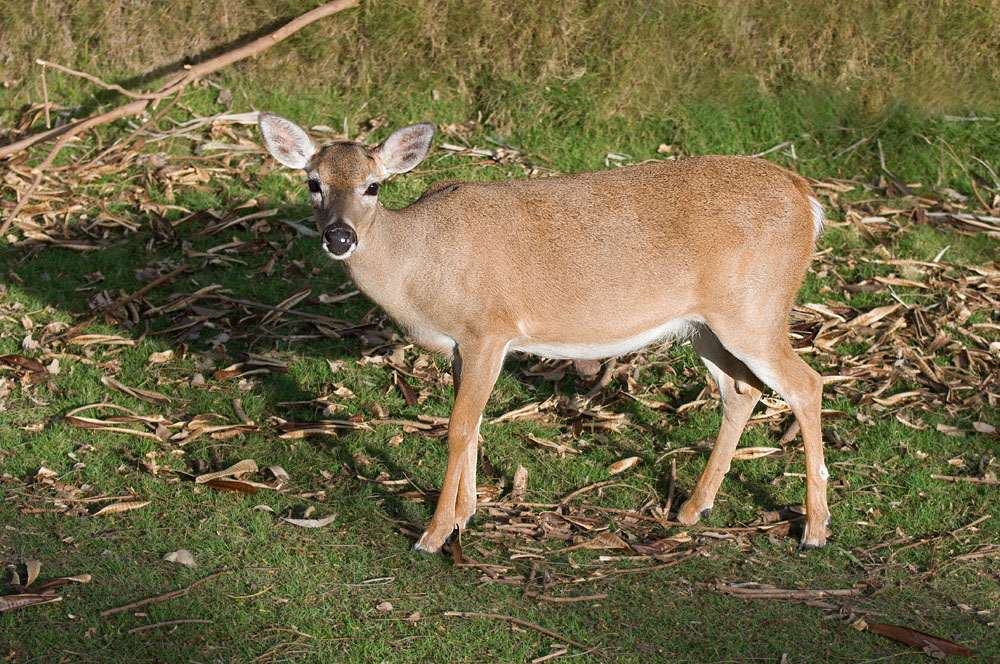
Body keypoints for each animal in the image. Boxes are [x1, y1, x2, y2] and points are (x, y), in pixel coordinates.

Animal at [256, 113, 828, 556]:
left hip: (756, 309)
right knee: (741, 390)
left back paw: (814, 531)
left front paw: (433, 535)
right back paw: (692, 508)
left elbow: (458, 427)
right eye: (313, 182)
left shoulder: (489, 330)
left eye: (373, 185)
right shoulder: (464, 346)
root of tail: (808, 198)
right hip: (706, 324)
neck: (420, 266)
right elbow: (474, 424)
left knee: (806, 384)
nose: (339, 236)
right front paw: (466, 514)